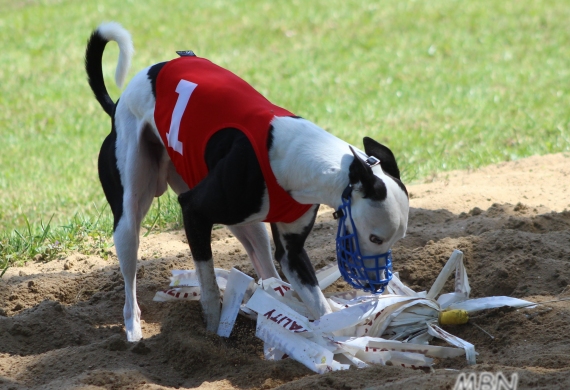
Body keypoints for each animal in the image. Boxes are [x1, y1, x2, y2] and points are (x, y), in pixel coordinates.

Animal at [84, 22, 406, 342]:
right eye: (375, 238)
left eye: (396, 239)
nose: (378, 283)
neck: (296, 154)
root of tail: (119, 103)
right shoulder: (193, 210)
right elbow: (210, 288)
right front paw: (211, 333)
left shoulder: (292, 253)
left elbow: (319, 306)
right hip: (130, 214)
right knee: (129, 277)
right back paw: (134, 331)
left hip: (244, 220)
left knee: (265, 265)